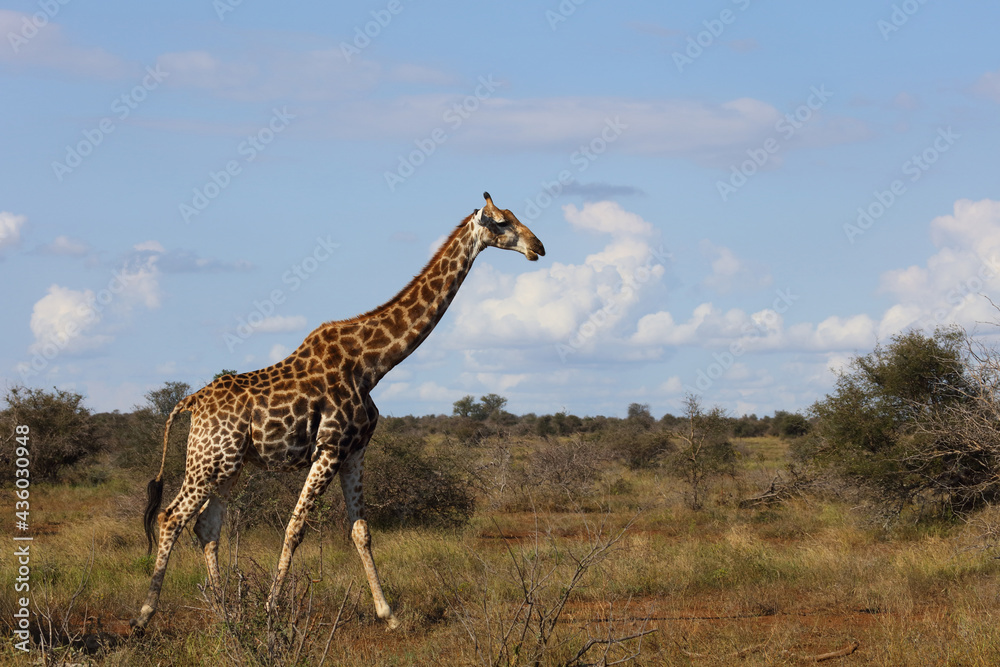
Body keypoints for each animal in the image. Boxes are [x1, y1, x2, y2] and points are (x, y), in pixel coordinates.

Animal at [131, 192, 545, 631]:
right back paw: (145, 615)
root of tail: (189, 403)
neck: (372, 364)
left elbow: (360, 531)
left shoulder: (354, 451)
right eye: (500, 222)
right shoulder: (328, 448)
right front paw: (271, 610)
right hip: (208, 461)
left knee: (206, 526)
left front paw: (388, 614)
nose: (538, 246)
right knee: (171, 517)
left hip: (228, 465)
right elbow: (295, 528)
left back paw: (225, 612)